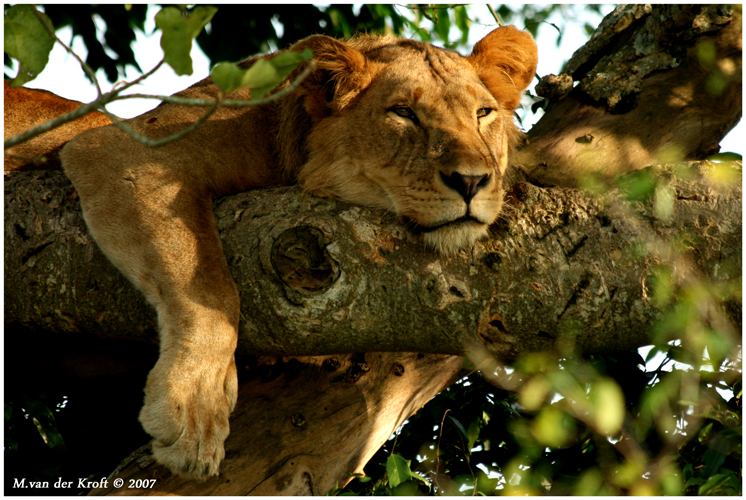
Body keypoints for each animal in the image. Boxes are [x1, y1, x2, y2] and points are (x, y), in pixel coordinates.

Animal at [55, 26, 536, 476]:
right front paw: (193, 407)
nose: (471, 181)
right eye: (404, 113)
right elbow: (207, 286)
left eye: (483, 113)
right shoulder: (120, 151)